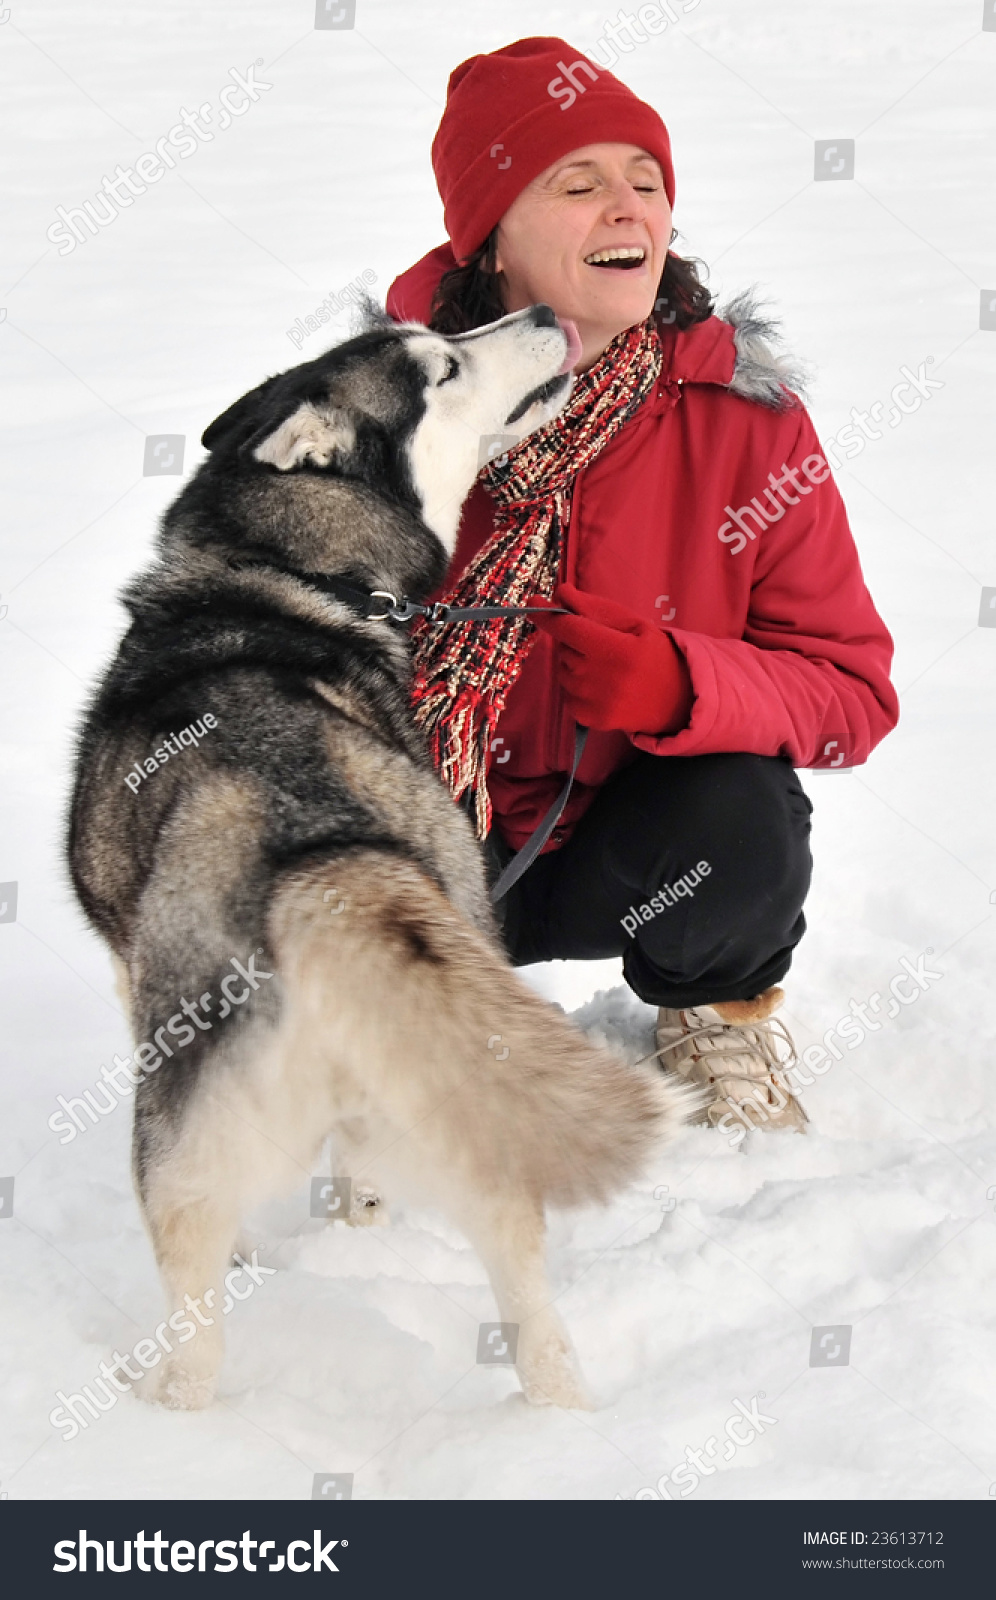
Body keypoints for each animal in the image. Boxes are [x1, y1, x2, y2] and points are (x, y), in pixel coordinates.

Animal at [66, 305, 691, 1408]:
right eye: (443, 365)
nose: (544, 314)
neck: (279, 573)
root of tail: (327, 856)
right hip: (449, 1067)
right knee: (518, 1271)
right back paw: (558, 1414)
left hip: (177, 1152)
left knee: (195, 1330)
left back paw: (166, 1409)